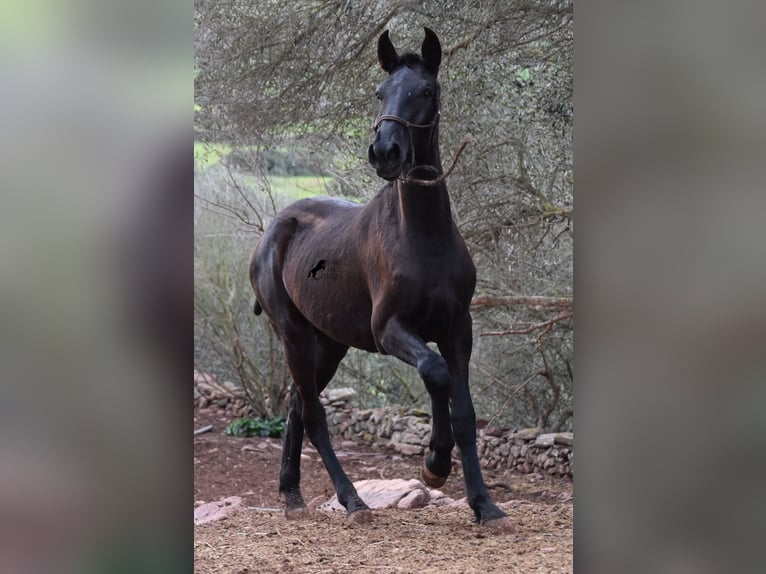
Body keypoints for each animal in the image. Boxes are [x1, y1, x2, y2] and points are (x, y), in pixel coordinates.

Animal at [252, 27, 512, 532]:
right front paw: (434, 464)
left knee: (296, 405)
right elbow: (435, 373)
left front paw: (484, 505)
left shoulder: (458, 329)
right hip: (293, 334)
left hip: (328, 343)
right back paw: (352, 500)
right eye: (380, 92)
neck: (423, 237)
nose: (385, 152)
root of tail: (274, 231)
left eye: (426, 91)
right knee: (314, 415)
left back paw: (292, 494)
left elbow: (465, 412)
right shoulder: (390, 329)